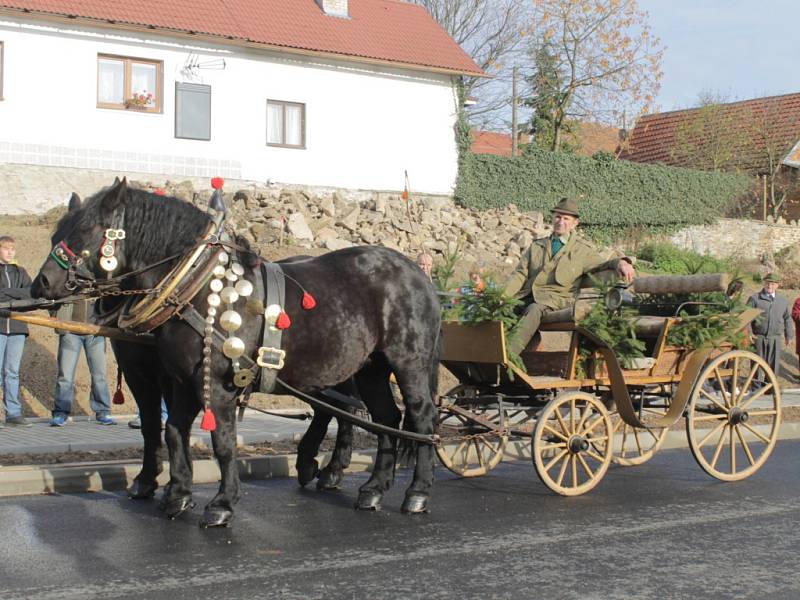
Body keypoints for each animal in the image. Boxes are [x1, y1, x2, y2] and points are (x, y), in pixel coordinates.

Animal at [31, 180, 440, 528]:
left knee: (420, 420)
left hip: (408, 363)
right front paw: (177, 495)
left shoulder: (215, 385)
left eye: (87, 229)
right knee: (384, 418)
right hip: (369, 368)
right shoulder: (181, 380)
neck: (195, 285)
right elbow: (172, 431)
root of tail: (417, 273)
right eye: (55, 233)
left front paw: (221, 504)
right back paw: (371, 489)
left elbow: (223, 444)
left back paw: (416, 493)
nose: (42, 283)